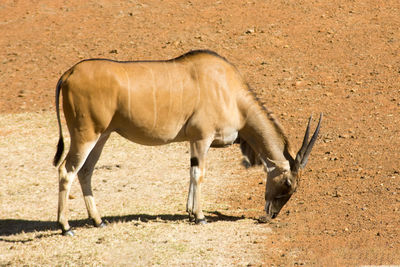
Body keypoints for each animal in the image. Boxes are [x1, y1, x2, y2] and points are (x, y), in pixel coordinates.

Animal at [53, 49, 322, 237]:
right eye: (288, 183)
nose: (271, 214)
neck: (230, 92)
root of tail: (69, 73)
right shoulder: (202, 138)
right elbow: (199, 174)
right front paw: (200, 216)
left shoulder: (193, 141)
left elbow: (191, 172)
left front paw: (191, 212)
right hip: (86, 135)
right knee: (67, 170)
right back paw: (66, 227)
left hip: (102, 136)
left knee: (85, 171)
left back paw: (98, 220)